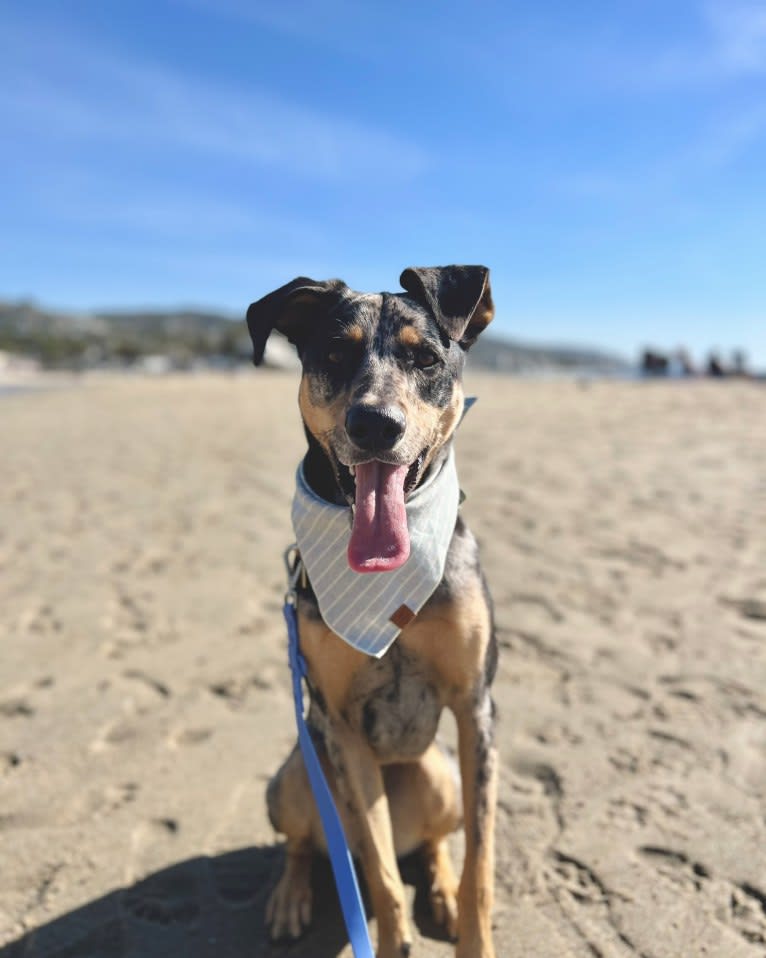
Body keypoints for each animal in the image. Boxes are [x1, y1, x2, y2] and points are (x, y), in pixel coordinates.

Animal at [244, 266, 498, 958]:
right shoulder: (341, 729)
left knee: (434, 842)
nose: (375, 425)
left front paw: (468, 920)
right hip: (295, 776)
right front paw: (389, 934)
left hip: (437, 776)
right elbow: (381, 879)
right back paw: (290, 896)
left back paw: (438, 889)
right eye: (334, 355)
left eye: (425, 358)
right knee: (315, 845)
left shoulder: (475, 707)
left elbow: (480, 863)